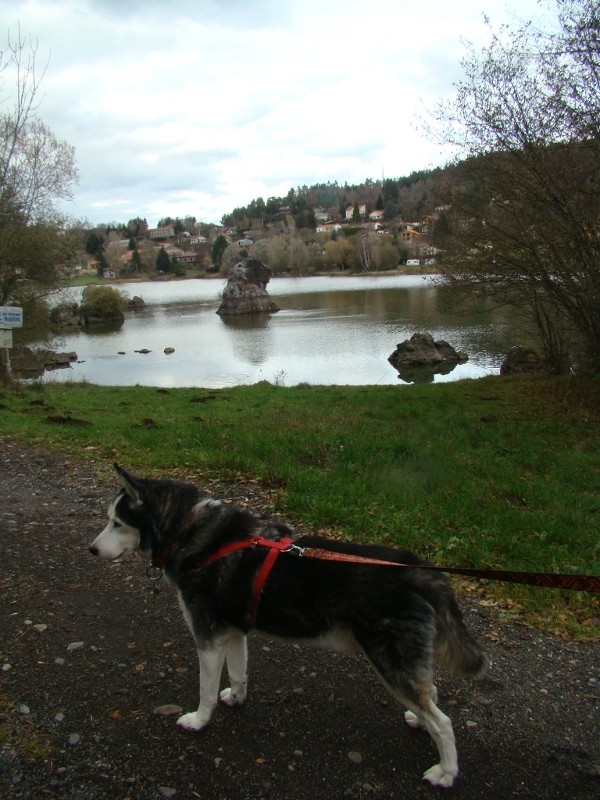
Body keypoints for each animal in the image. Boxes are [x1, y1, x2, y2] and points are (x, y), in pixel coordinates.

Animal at [89, 466, 488, 784]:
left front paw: (199, 721)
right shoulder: (233, 632)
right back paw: (420, 722)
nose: (91, 550)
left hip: (391, 663)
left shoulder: (208, 637)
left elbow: (205, 691)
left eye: (117, 523)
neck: (187, 530)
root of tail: (420, 571)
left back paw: (446, 772)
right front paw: (237, 698)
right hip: (405, 662)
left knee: (444, 722)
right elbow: (238, 674)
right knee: (430, 696)